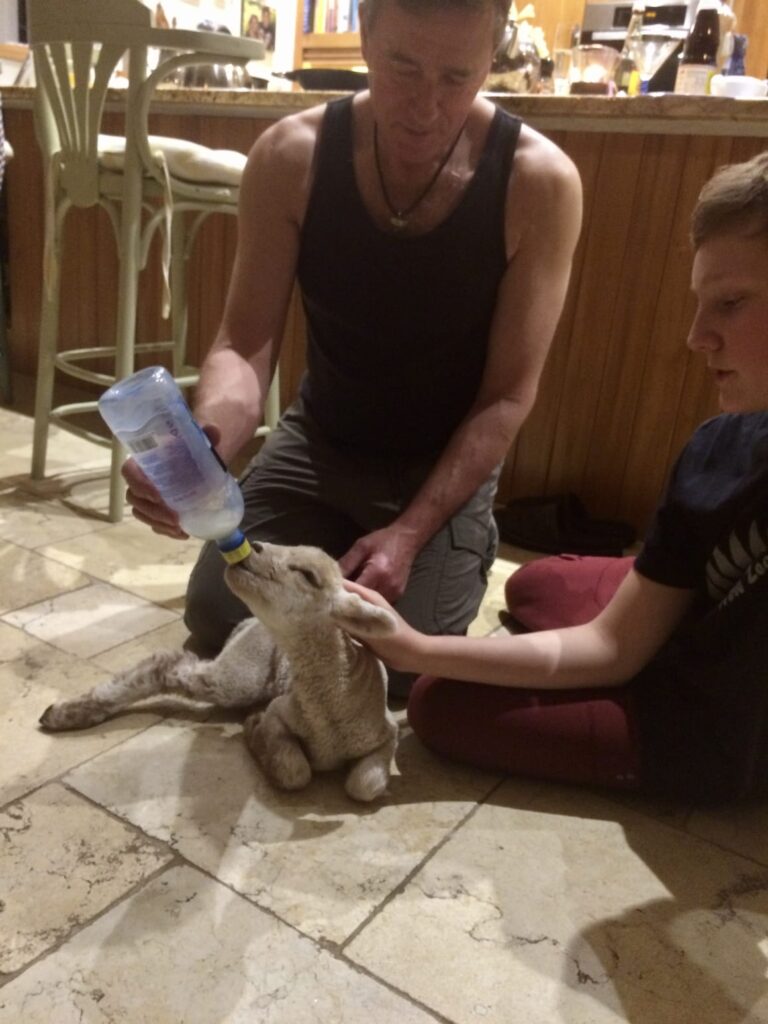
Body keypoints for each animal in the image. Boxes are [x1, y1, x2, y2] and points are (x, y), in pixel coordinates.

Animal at [40, 540, 403, 802]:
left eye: (308, 575)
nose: (254, 545)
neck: (334, 709)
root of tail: (248, 622)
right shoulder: (280, 711)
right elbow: (296, 771)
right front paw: (255, 731)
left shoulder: (387, 734)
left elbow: (365, 785)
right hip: (243, 675)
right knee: (166, 665)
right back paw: (65, 713)